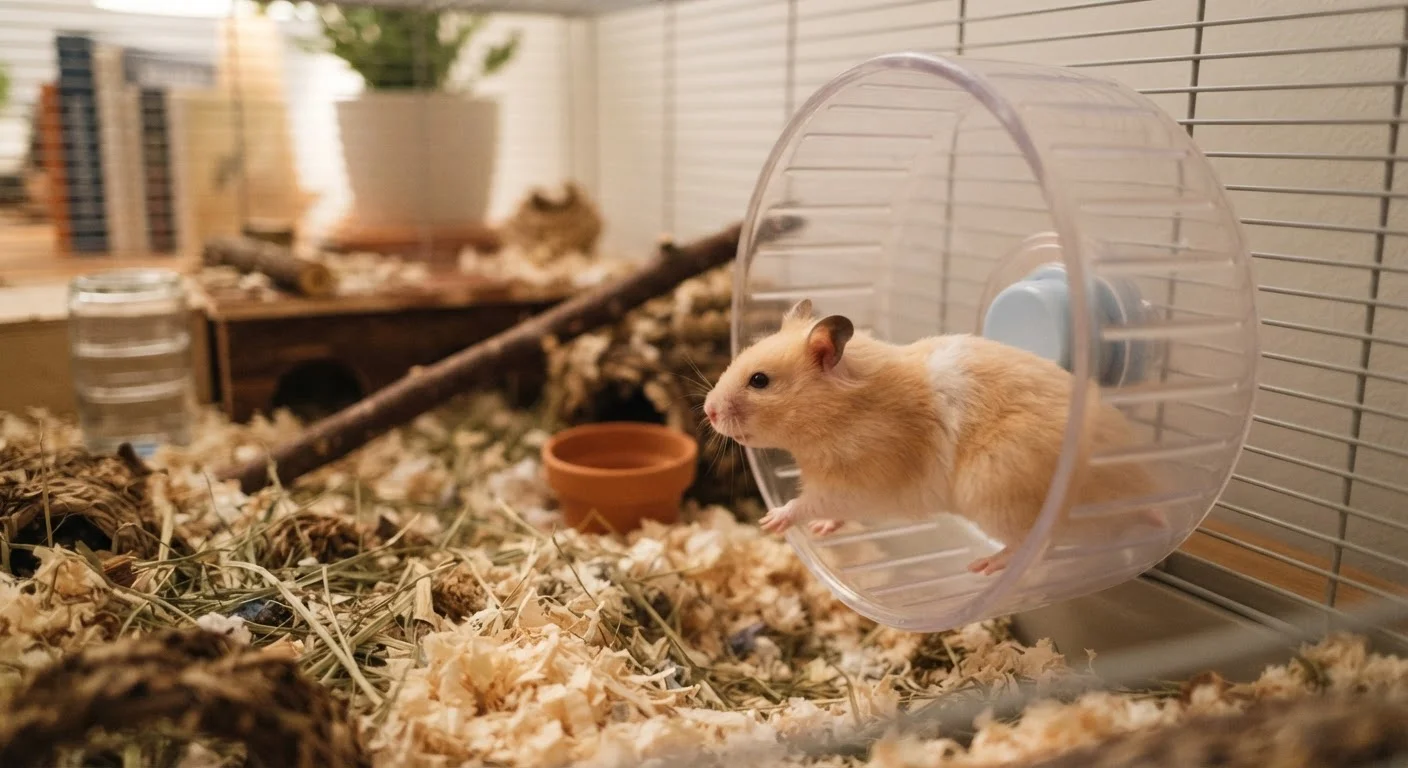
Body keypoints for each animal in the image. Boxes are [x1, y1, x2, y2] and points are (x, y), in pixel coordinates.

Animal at [703, 298, 1164, 575]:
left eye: (759, 380)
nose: (708, 410)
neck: (838, 415)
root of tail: (1148, 493)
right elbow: (831, 512)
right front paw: (819, 530)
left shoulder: (855, 482)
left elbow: (810, 502)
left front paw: (771, 520)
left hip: (997, 492)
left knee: (1031, 544)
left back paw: (986, 565)